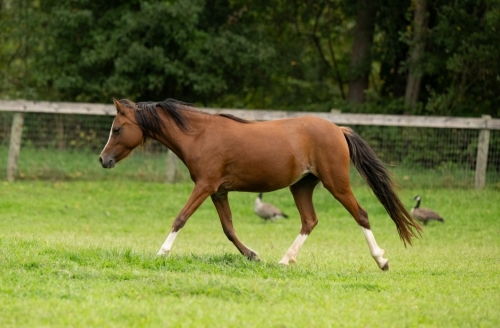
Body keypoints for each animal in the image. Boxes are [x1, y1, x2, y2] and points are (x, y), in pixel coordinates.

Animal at [99, 98, 420, 270]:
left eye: (117, 129)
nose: (103, 160)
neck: (198, 135)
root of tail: (338, 130)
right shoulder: (219, 192)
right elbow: (228, 229)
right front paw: (253, 255)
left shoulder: (204, 186)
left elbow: (180, 218)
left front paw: (162, 253)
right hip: (301, 186)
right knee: (309, 220)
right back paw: (285, 260)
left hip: (336, 183)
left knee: (361, 215)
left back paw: (381, 261)